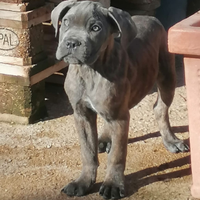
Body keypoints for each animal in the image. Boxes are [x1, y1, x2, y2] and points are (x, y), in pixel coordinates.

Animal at [50, 1, 188, 198]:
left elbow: (117, 154)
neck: (90, 70)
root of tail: (151, 17)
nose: (71, 42)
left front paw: (113, 184)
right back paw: (104, 139)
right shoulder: (82, 115)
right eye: (66, 22)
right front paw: (83, 182)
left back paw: (171, 140)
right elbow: (87, 151)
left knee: (160, 109)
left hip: (167, 77)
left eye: (95, 28)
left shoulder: (119, 118)